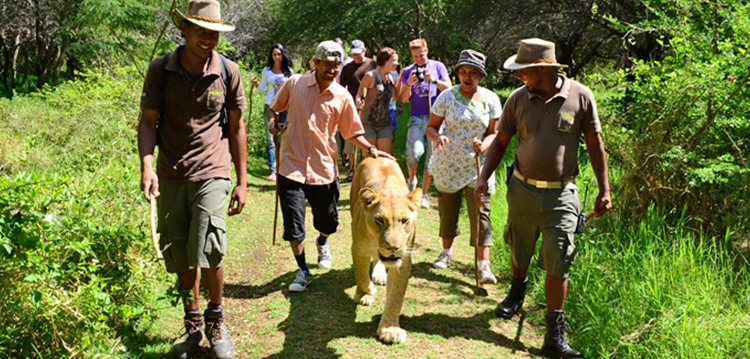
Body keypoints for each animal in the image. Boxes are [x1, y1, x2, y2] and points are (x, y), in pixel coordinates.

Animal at [352, 157, 424, 344]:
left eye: (404, 220)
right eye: (379, 220)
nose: (393, 247)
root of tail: (377, 156)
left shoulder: (403, 260)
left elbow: (396, 297)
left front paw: (390, 330)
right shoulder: (359, 248)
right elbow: (361, 275)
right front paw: (365, 294)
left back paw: (380, 275)